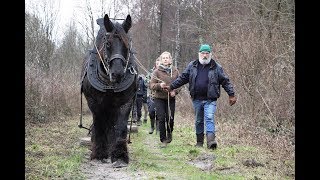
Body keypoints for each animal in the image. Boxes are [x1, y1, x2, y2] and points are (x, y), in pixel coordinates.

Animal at [80, 14, 138, 167]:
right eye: (108, 44)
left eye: (127, 45)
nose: (117, 73)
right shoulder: (94, 102)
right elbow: (99, 124)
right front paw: (99, 154)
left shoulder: (126, 102)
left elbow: (120, 126)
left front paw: (120, 156)